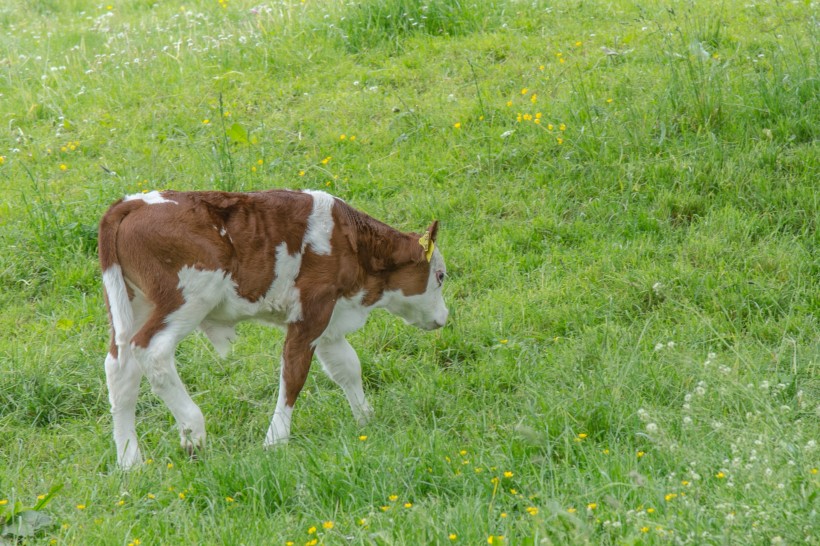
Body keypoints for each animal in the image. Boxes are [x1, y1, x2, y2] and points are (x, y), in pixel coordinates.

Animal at [99, 188, 452, 468]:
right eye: (440, 275)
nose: (444, 317)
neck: (351, 244)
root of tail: (134, 202)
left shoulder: (330, 321)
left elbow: (348, 368)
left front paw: (366, 419)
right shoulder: (310, 314)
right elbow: (294, 376)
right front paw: (276, 440)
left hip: (134, 304)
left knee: (121, 369)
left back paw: (130, 462)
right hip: (189, 297)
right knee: (152, 350)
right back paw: (192, 431)